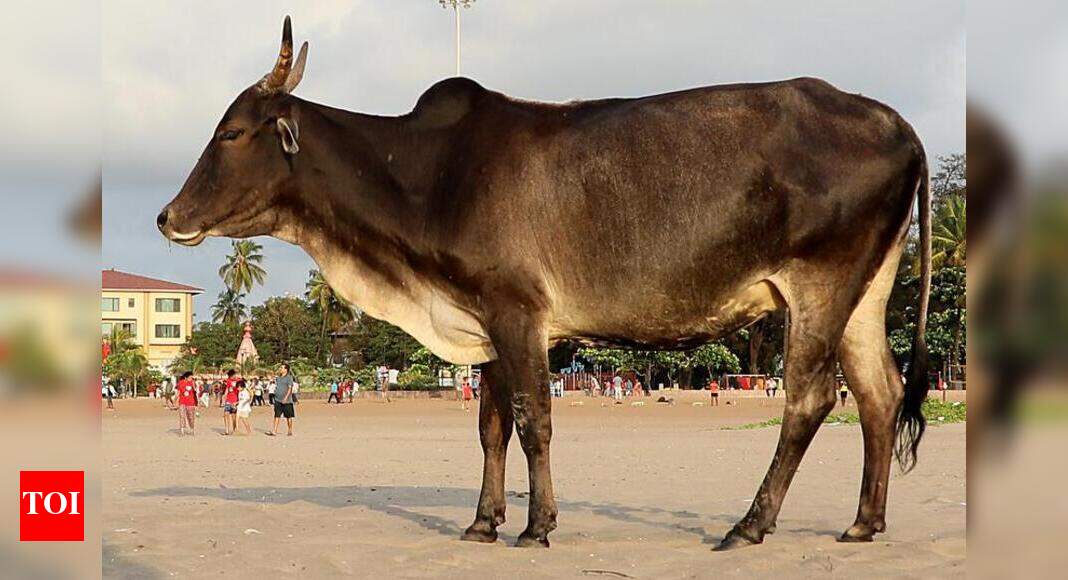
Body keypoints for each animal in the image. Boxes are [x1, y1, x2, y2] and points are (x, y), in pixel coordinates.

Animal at [158, 17, 931, 550]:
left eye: (231, 132)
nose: (167, 216)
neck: (427, 178)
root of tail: (898, 122)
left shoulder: (517, 312)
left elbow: (534, 421)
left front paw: (537, 526)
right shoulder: (484, 321)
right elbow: (490, 427)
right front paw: (483, 522)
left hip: (819, 285)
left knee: (809, 399)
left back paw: (750, 524)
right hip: (864, 292)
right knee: (878, 394)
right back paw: (864, 523)